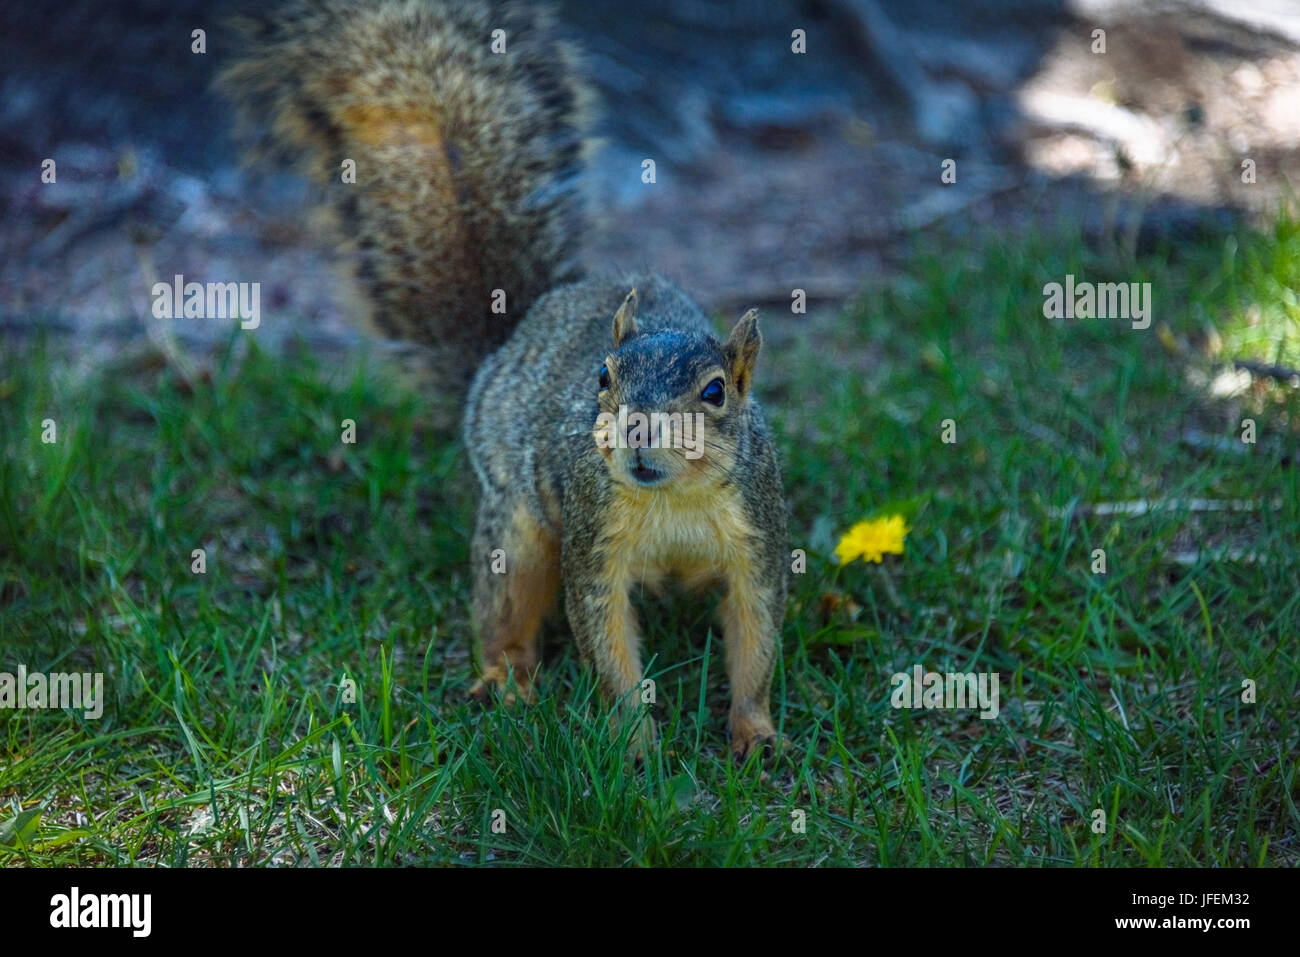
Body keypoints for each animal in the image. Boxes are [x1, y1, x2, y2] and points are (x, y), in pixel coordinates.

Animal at [218, 0, 785, 764]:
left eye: (716, 392)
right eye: (603, 376)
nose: (636, 433)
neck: (676, 498)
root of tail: (509, 341)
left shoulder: (758, 537)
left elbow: (756, 639)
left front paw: (756, 732)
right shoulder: (593, 543)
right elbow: (606, 641)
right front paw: (633, 742)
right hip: (513, 522)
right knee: (503, 602)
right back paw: (507, 679)